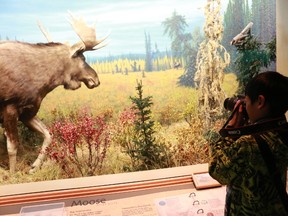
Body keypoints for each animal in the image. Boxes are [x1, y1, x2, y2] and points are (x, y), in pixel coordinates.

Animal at [0, 13, 108, 173]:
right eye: (82, 58)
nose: (96, 79)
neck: (43, 80)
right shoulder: (10, 107)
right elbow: (12, 147)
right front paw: (13, 174)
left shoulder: (28, 111)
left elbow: (48, 135)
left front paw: (34, 167)